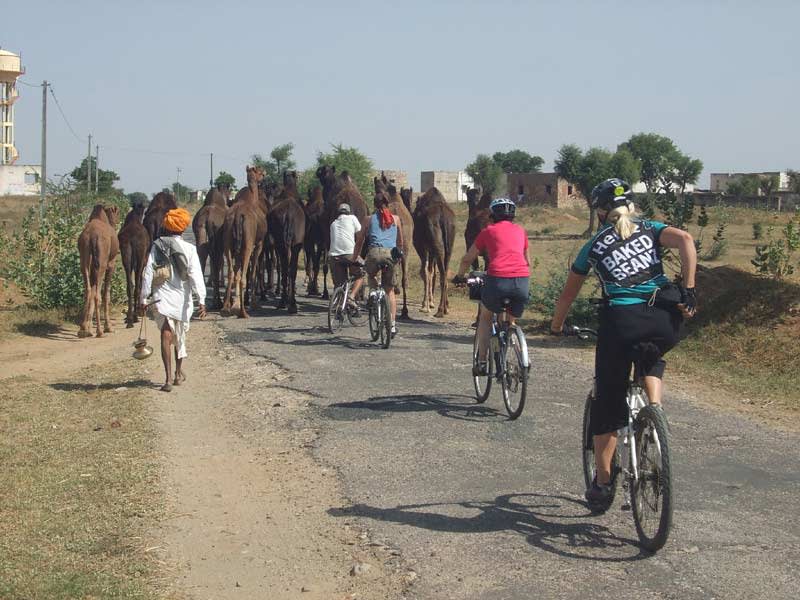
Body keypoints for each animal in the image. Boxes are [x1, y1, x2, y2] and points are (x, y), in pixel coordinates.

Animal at [77, 205, 120, 338]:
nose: (116, 221)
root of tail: (92, 237)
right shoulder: (111, 264)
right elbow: (106, 294)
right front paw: (108, 327)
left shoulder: (92, 267)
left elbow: (92, 289)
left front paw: (87, 327)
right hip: (101, 264)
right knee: (97, 295)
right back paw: (100, 331)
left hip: (85, 260)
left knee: (88, 290)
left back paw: (82, 330)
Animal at [222, 166, 268, 318]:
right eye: (260, 172)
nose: (265, 174)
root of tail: (237, 216)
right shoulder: (258, 244)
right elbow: (252, 272)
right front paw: (253, 302)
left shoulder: (237, 248)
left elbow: (237, 271)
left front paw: (234, 304)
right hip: (247, 244)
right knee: (243, 276)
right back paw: (243, 312)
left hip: (228, 242)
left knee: (231, 272)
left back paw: (225, 308)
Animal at [268, 171, 306, 314]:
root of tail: (289, 213)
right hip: (295, 244)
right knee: (291, 269)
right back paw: (292, 304)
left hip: (282, 243)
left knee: (285, 268)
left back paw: (284, 302)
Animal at [412, 188, 456, 318]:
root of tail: (443, 216)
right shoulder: (431, 249)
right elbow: (431, 271)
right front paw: (430, 303)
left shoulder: (421, 246)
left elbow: (425, 272)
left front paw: (425, 305)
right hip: (448, 244)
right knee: (444, 272)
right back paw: (445, 308)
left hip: (434, 243)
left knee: (440, 273)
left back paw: (440, 310)